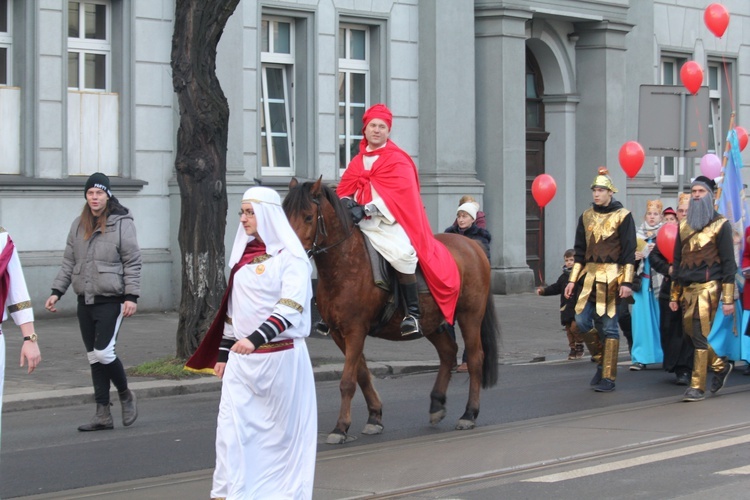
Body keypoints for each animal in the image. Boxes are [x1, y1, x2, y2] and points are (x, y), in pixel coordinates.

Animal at [284, 178, 502, 444]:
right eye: (285, 213)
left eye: (307, 217)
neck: (345, 263)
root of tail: (472, 245)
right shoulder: (338, 333)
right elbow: (362, 373)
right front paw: (374, 417)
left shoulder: (355, 330)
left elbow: (348, 380)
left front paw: (340, 427)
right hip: (433, 322)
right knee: (448, 352)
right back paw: (437, 404)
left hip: (470, 315)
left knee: (474, 358)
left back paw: (469, 414)